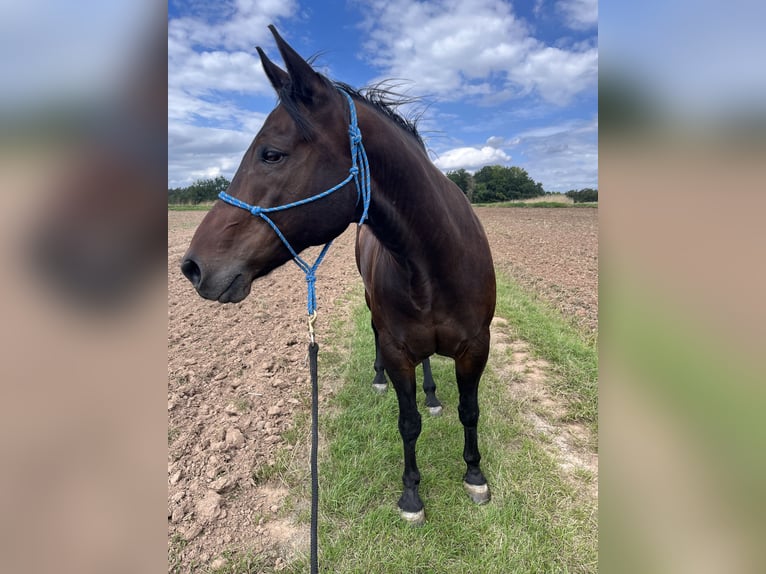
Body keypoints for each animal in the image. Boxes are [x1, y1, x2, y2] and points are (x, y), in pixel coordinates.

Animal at [181, 25, 496, 525]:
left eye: (272, 154)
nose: (192, 266)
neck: (437, 262)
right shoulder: (398, 350)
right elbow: (408, 423)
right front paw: (411, 495)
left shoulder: (476, 348)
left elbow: (470, 411)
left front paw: (474, 475)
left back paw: (432, 394)